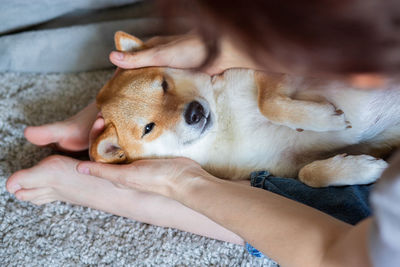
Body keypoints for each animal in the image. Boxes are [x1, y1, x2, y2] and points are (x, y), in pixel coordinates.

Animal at [90, 31, 400, 187]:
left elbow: (269, 104)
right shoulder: (285, 165)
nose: (194, 112)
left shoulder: (271, 73)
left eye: (164, 85)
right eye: (148, 128)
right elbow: (308, 174)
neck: (226, 122)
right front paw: (363, 169)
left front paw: (324, 120)